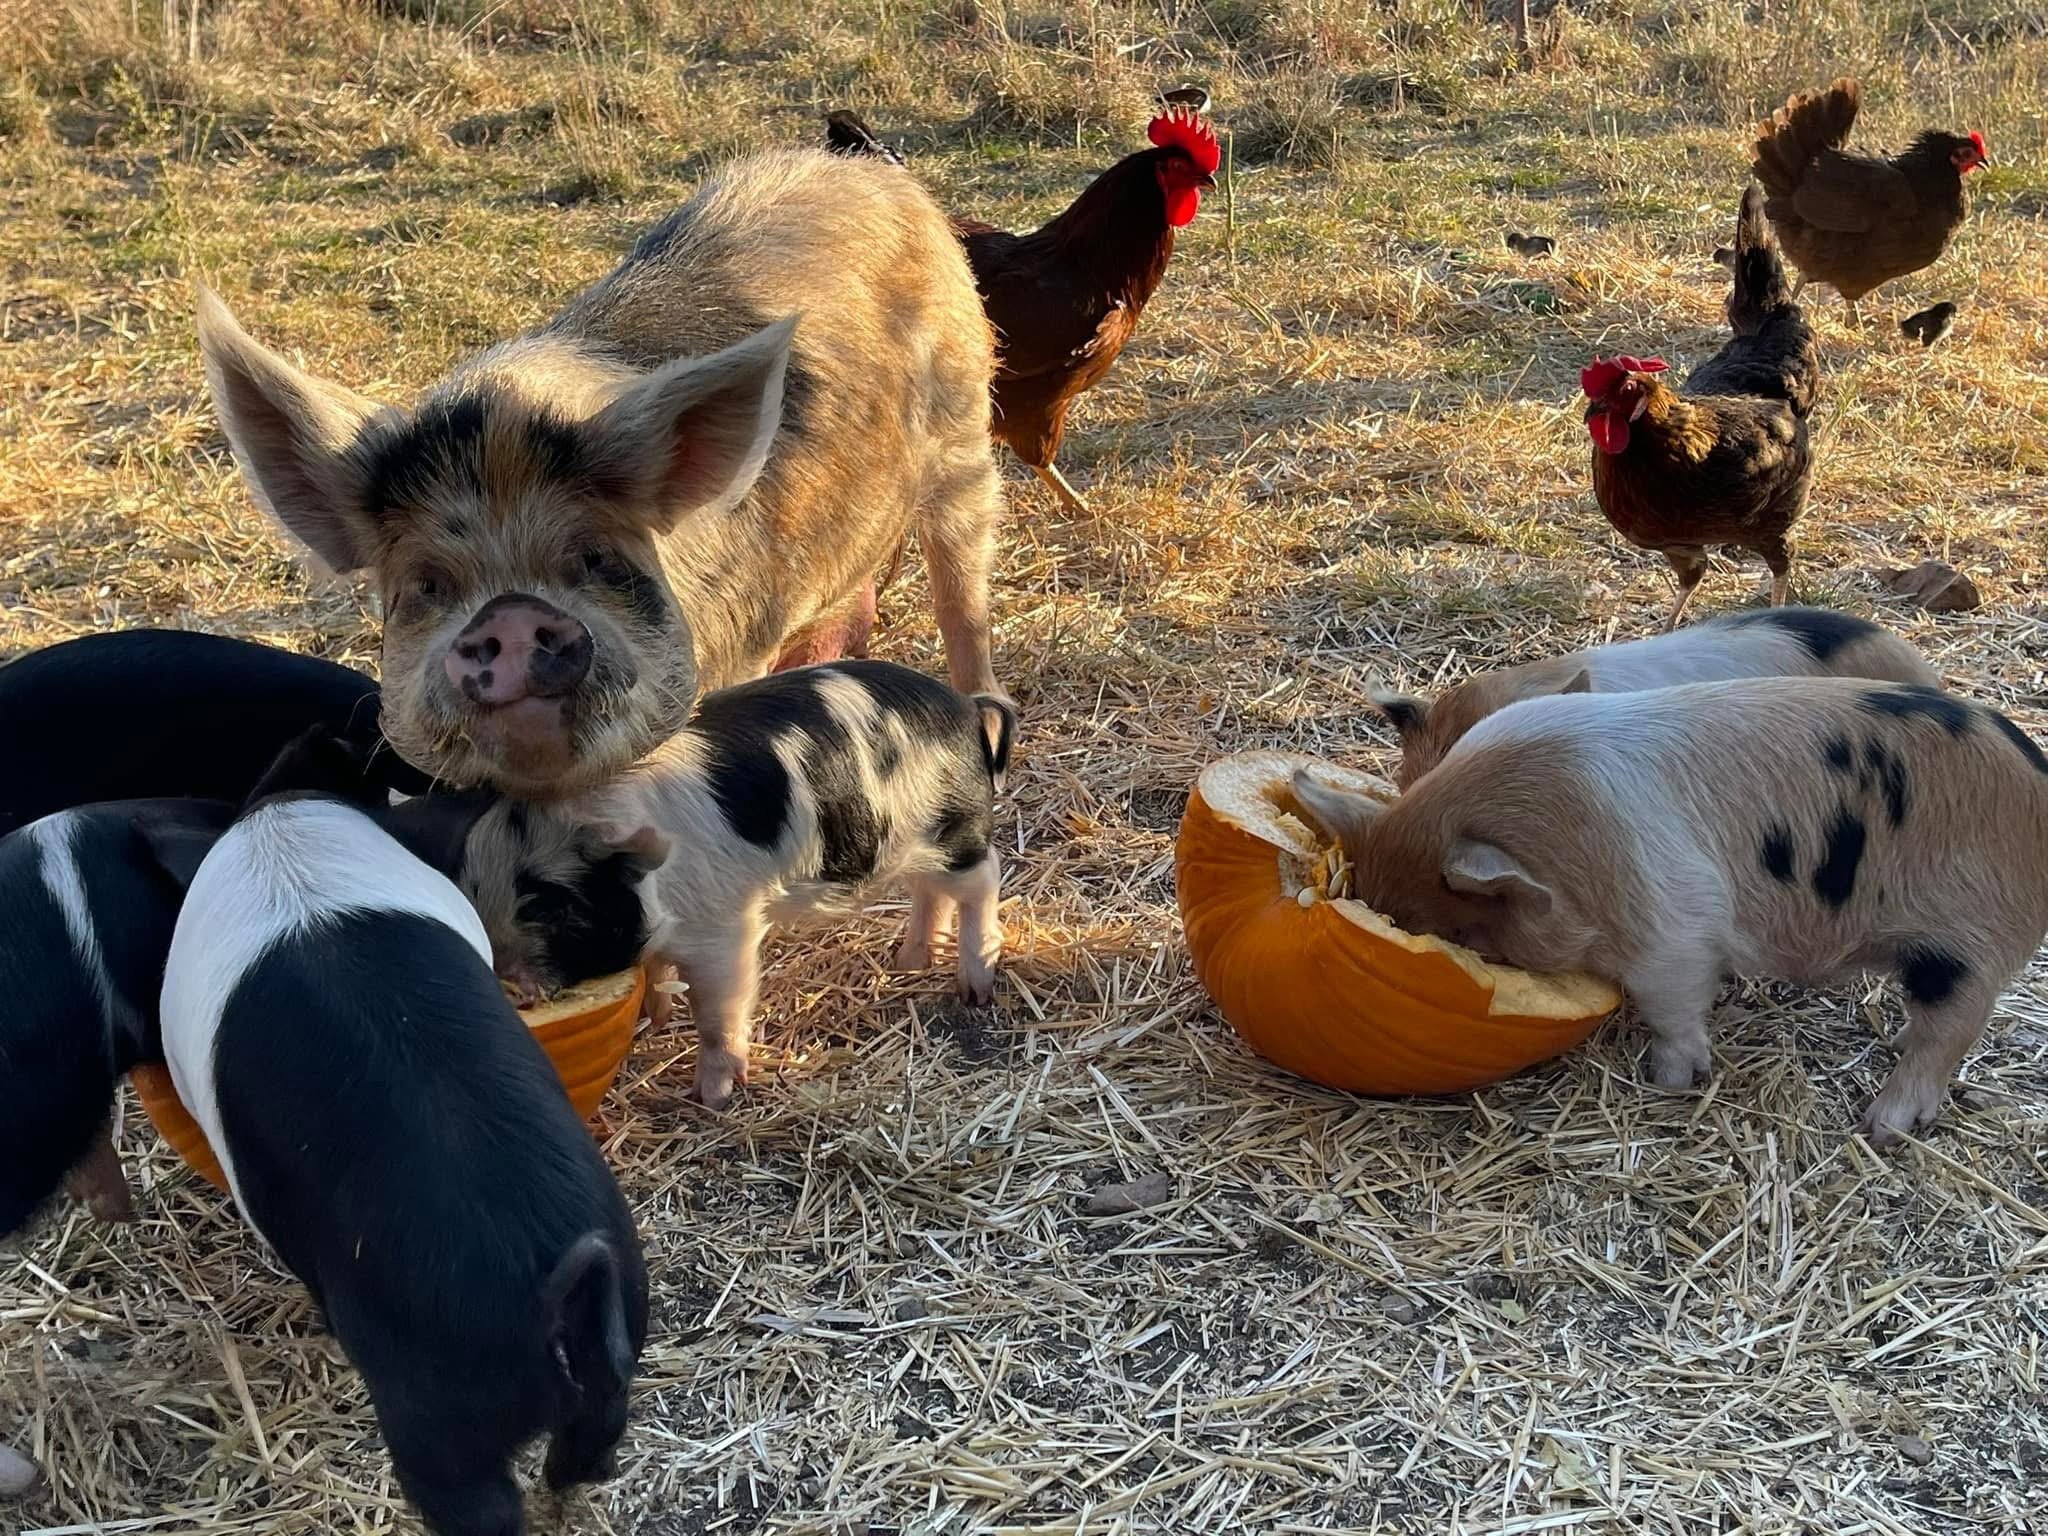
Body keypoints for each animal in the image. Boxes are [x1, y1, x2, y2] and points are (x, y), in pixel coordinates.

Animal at [157, 789, 655, 1536]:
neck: (285, 850)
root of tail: (550, 1286)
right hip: (622, 1310)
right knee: (593, 1435)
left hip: (435, 1402)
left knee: (476, 1498)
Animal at [197, 149, 1005, 798]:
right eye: (426, 586)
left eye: (592, 558)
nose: (509, 611)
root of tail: (870, 172)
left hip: (966, 426)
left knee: (962, 581)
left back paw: (988, 725)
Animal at [576, 660, 1015, 1108]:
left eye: (564, 908)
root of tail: (966, 708)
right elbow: (658, 972)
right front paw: (655, 1019)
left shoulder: (722, 928)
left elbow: (717, 1010)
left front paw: (711, 1098)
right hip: (911, 845)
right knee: (931, 891)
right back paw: (908, 964)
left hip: (955, 829)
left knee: (984, 878)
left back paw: (974, 990)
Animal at [1289, 678, 2048, 1145]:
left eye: (1456, 933)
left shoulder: (1674, 927)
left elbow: (1672, 1005)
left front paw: (1667, 1083)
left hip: (1966, 946)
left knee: (1950, 1031)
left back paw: (1880, 1127)